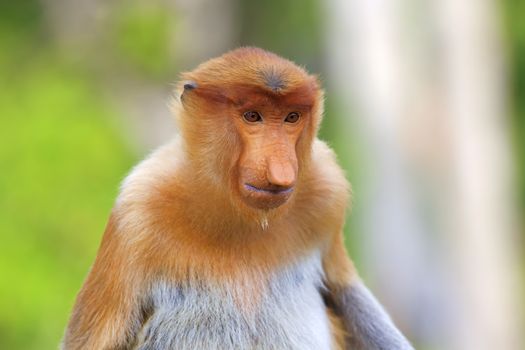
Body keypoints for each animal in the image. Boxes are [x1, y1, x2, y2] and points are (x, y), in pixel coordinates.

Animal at [62, 47, 414, 350]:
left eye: (292, 117)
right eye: (252, 116)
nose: (281, 171)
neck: (238, 214)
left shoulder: (328, 190)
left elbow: (347, 291)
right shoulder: (136, 212)